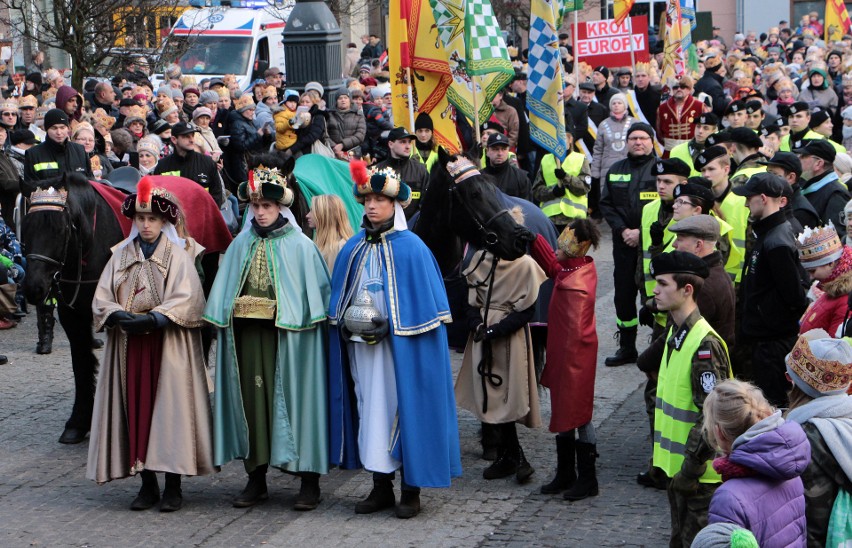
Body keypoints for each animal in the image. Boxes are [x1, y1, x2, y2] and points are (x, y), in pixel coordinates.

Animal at [21, 173, 123, 444]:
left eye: (60, 229)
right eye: (26, 226)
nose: (34, 287)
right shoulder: (72, 315)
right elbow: (81, 362)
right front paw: (78, 422)